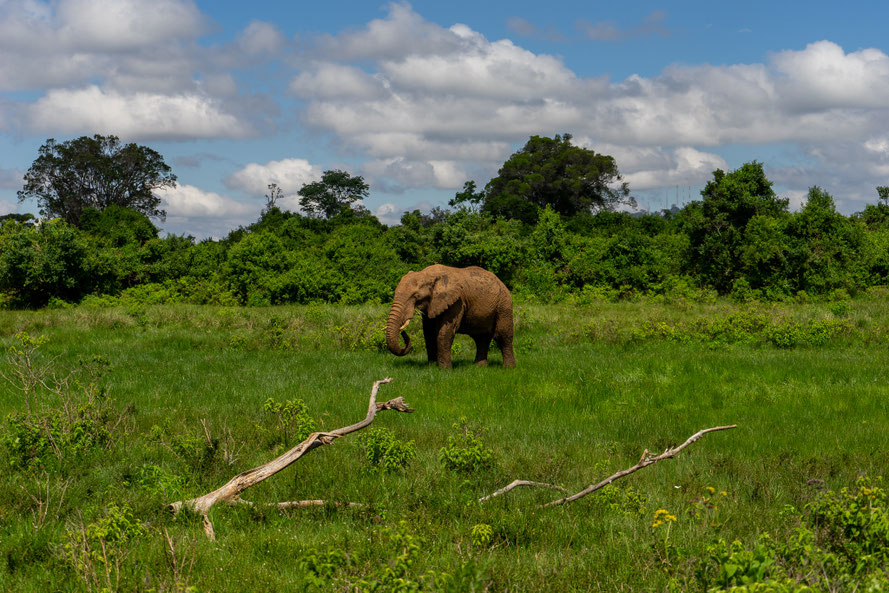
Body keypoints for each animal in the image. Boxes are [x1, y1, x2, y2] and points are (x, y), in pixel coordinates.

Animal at [385, 264, 516, 369]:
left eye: (415, 296)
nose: (403, 332)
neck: (429, 275)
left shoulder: (456, 301)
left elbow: (445, 331)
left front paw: (444, 370)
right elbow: (428, 333)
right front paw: (432, 367)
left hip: (504, 305)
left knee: (503, 336)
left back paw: (509, 368)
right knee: (481, 338)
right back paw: (479, 367)